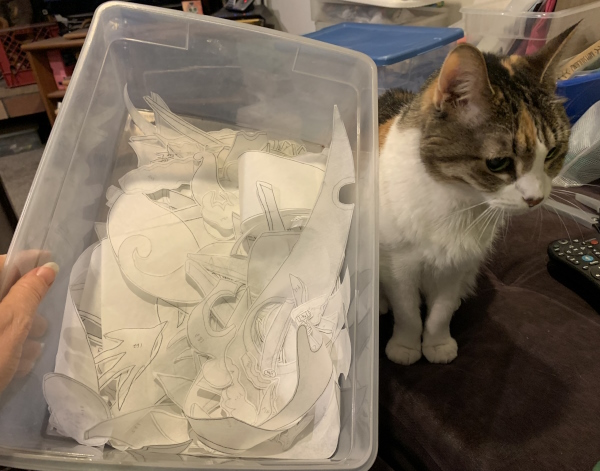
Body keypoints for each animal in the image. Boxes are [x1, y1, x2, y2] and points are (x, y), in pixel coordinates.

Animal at [378, 25, 577, 365]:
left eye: (552, 153)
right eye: (498, 163)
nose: (536, 199)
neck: (457, 201)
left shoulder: (456, 266)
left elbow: (440, 313)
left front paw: (437, 343)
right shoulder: (398, 267)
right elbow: (407, 312)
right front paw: (406, 346)